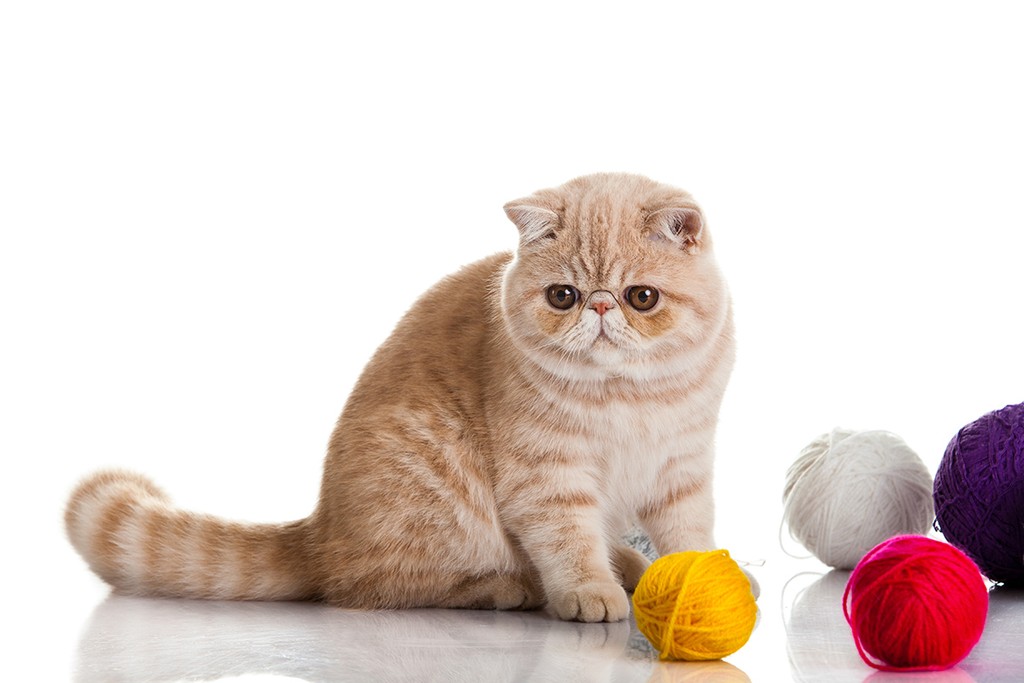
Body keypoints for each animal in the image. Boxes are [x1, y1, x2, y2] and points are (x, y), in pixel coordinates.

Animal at [66, 172, 737, 626]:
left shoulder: (682, 467)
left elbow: (687, 529)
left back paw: (629, 565)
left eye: (641, 297)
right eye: (563, 296)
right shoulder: (547, 478)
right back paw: (513, 587)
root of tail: (318, 531)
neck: (628, 396)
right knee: (376, 586)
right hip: (435, 491)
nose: (599, 307)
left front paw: (698, 577)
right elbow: (569, 540)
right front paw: (589, 591)